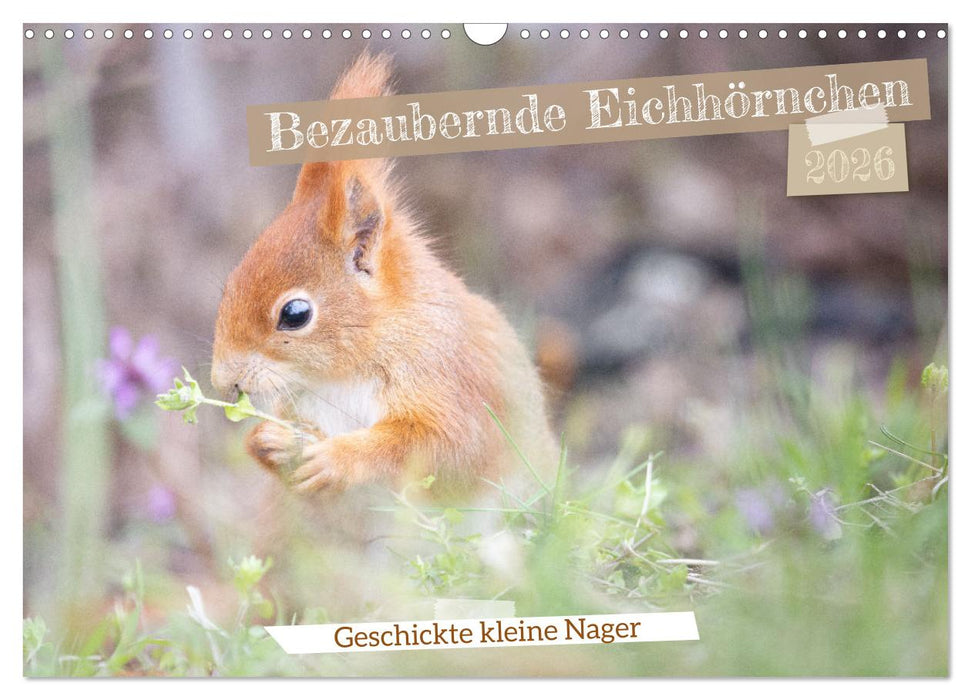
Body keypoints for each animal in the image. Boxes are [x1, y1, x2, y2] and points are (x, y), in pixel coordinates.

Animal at [211, 52, 558, 499]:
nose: (223, 382)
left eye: (295, 314)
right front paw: (269, 440)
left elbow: (451, 447)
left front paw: (337, 458)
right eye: (230, 285)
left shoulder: (451, 377)